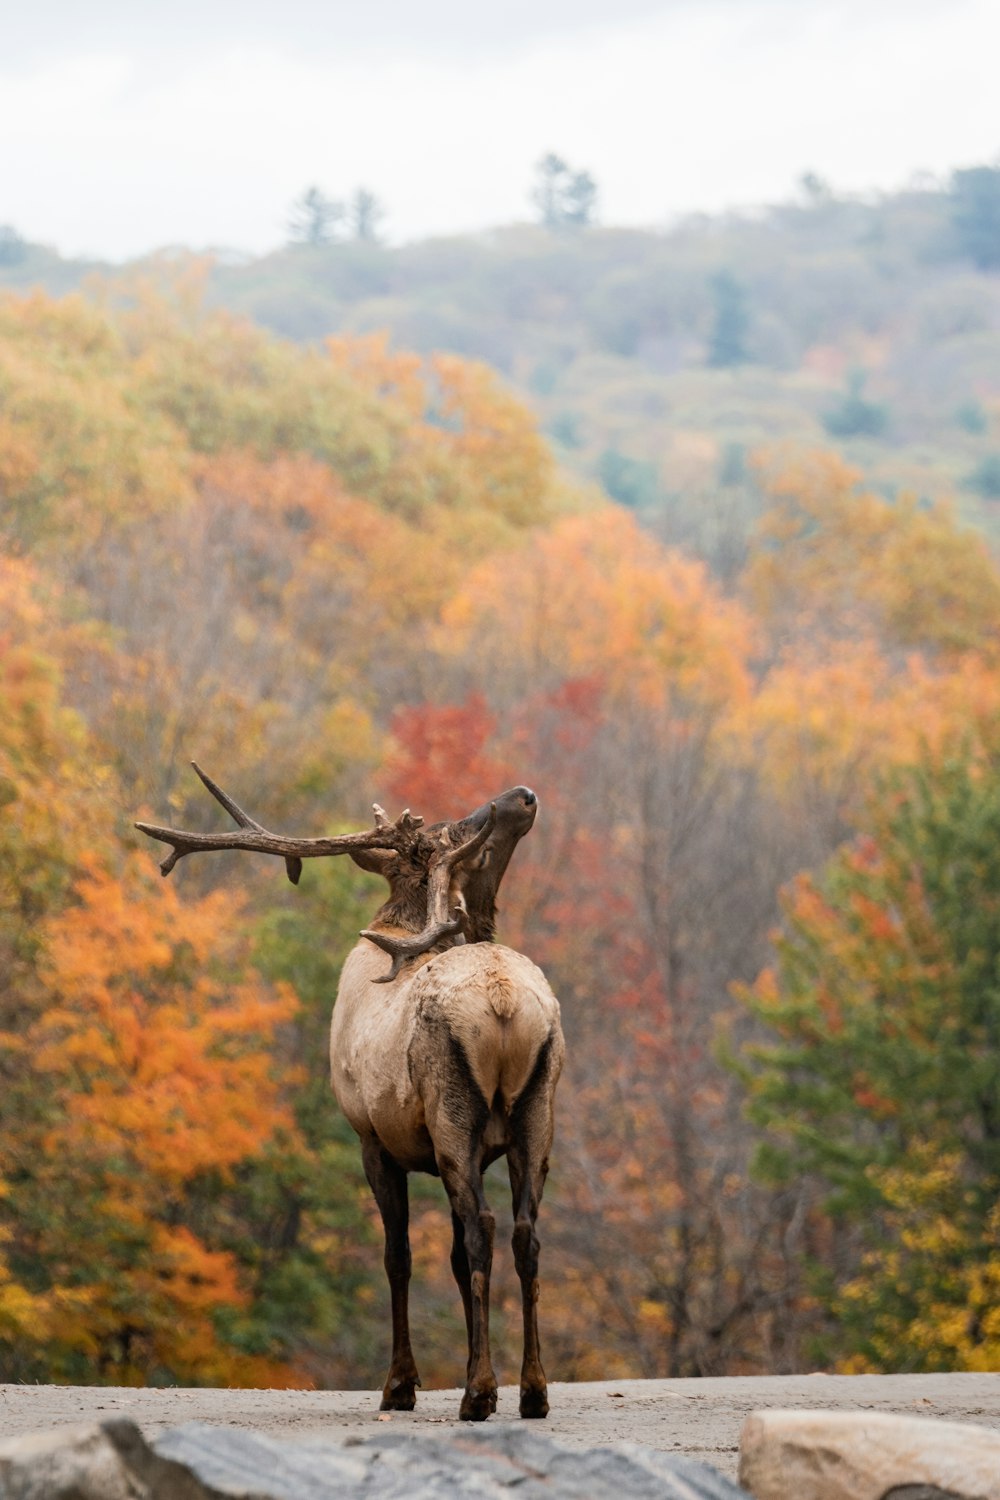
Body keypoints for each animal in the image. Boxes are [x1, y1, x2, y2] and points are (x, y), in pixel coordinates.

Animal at [134, 768, 563, 1422]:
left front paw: (400, 1384)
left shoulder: (371, 1137)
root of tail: (505, 1004)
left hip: (453, 1116)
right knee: (525, 1233)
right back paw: (533, 1391)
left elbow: (400, 1257)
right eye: (458, 827)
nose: (523, 796)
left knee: (483, 1228)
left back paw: (480, 1392)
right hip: (537, 1112)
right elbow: (449, 1262)